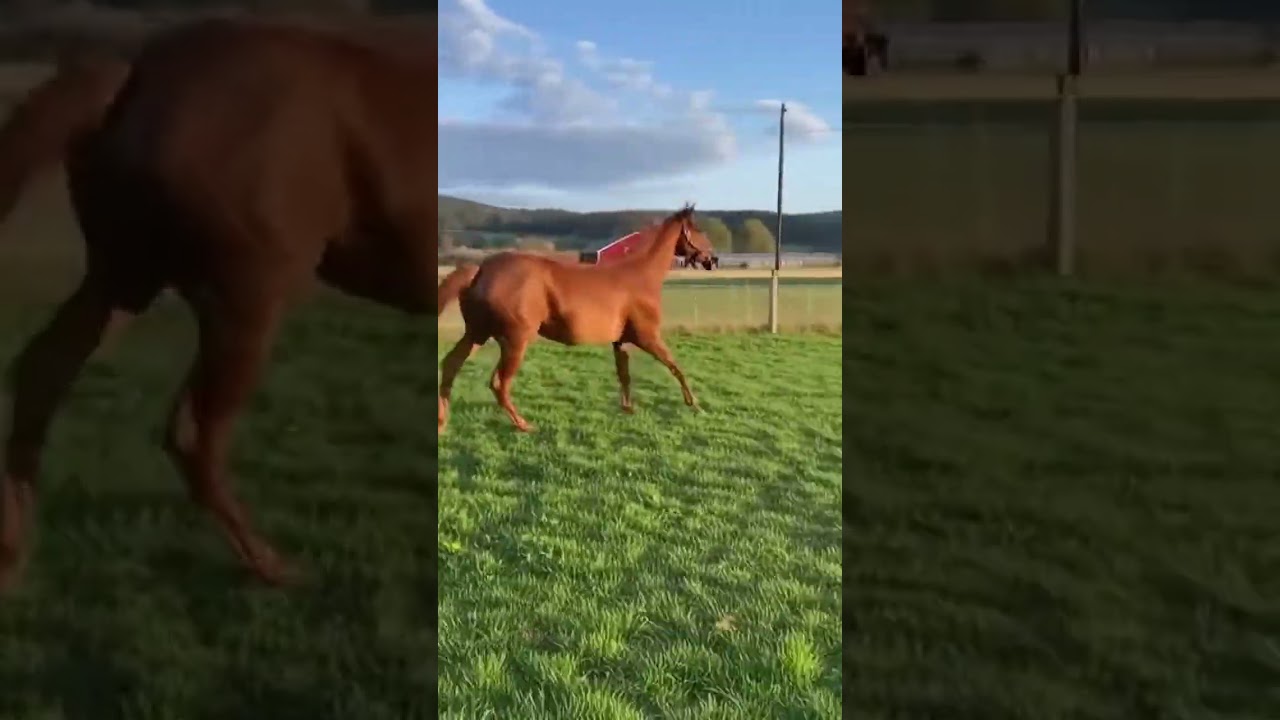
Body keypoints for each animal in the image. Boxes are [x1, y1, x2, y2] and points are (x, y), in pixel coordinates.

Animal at [0, 18, 437, 592]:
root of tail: (135, 73)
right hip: (244, 297)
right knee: (192, 433)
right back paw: (273, 565)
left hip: (125, 276)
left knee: (41, 372)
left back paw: (13, 557)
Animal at [436, 205, 715, 434]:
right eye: (698, 230)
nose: (712, 259)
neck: (640, 276)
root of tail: (480, 270)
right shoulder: (648, 337)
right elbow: (675, 367)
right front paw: (695, 405)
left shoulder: (621, 342)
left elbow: (624, 375)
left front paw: (628, 409)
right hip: (515, 340)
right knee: (499, 383)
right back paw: (524, 425)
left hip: (477, 334)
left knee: (450, 365)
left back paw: (442, 422)